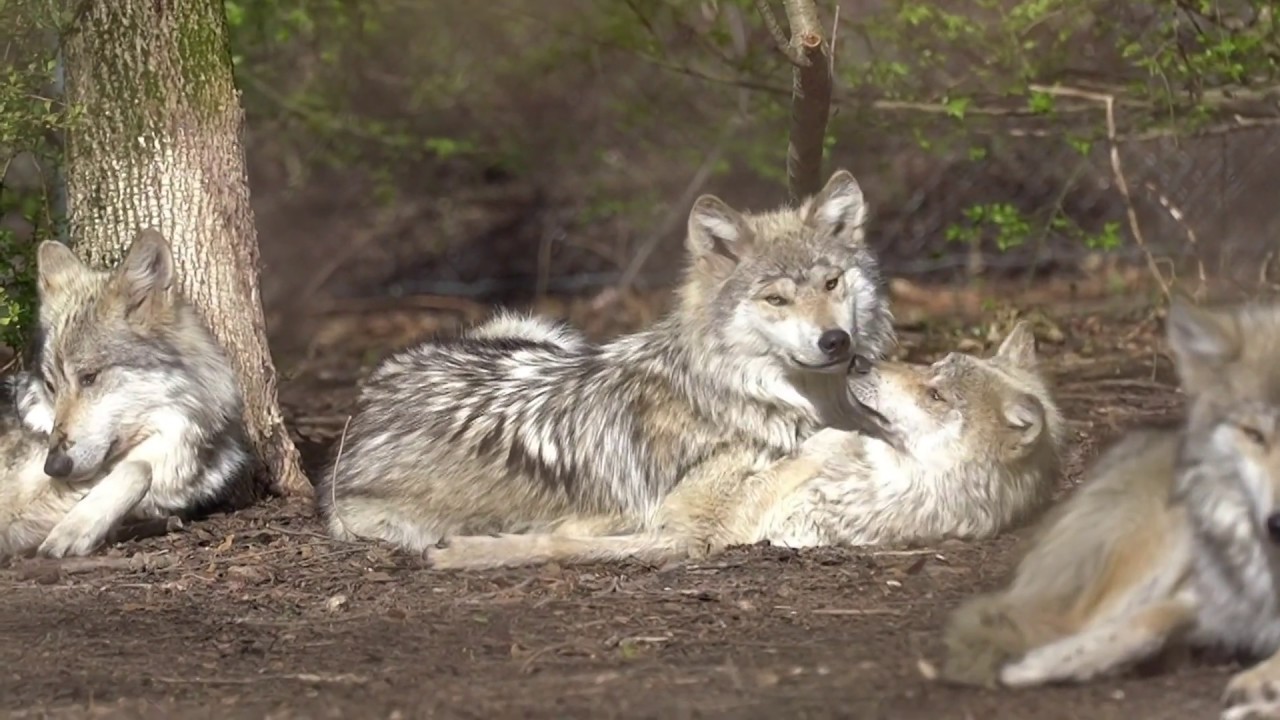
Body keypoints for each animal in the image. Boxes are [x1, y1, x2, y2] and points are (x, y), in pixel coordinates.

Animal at [0, 228, 252, 556]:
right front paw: (72, 531)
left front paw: (73, 530)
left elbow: (139, 468)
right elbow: (139, 469)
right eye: (51, 386)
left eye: (89, 377)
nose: (53, 467)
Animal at [424, 319, 1064, 566]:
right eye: (930, 366)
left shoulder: (693, 532)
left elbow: (556, 544)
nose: (858, 359)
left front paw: (464, 552)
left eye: (936, 394)